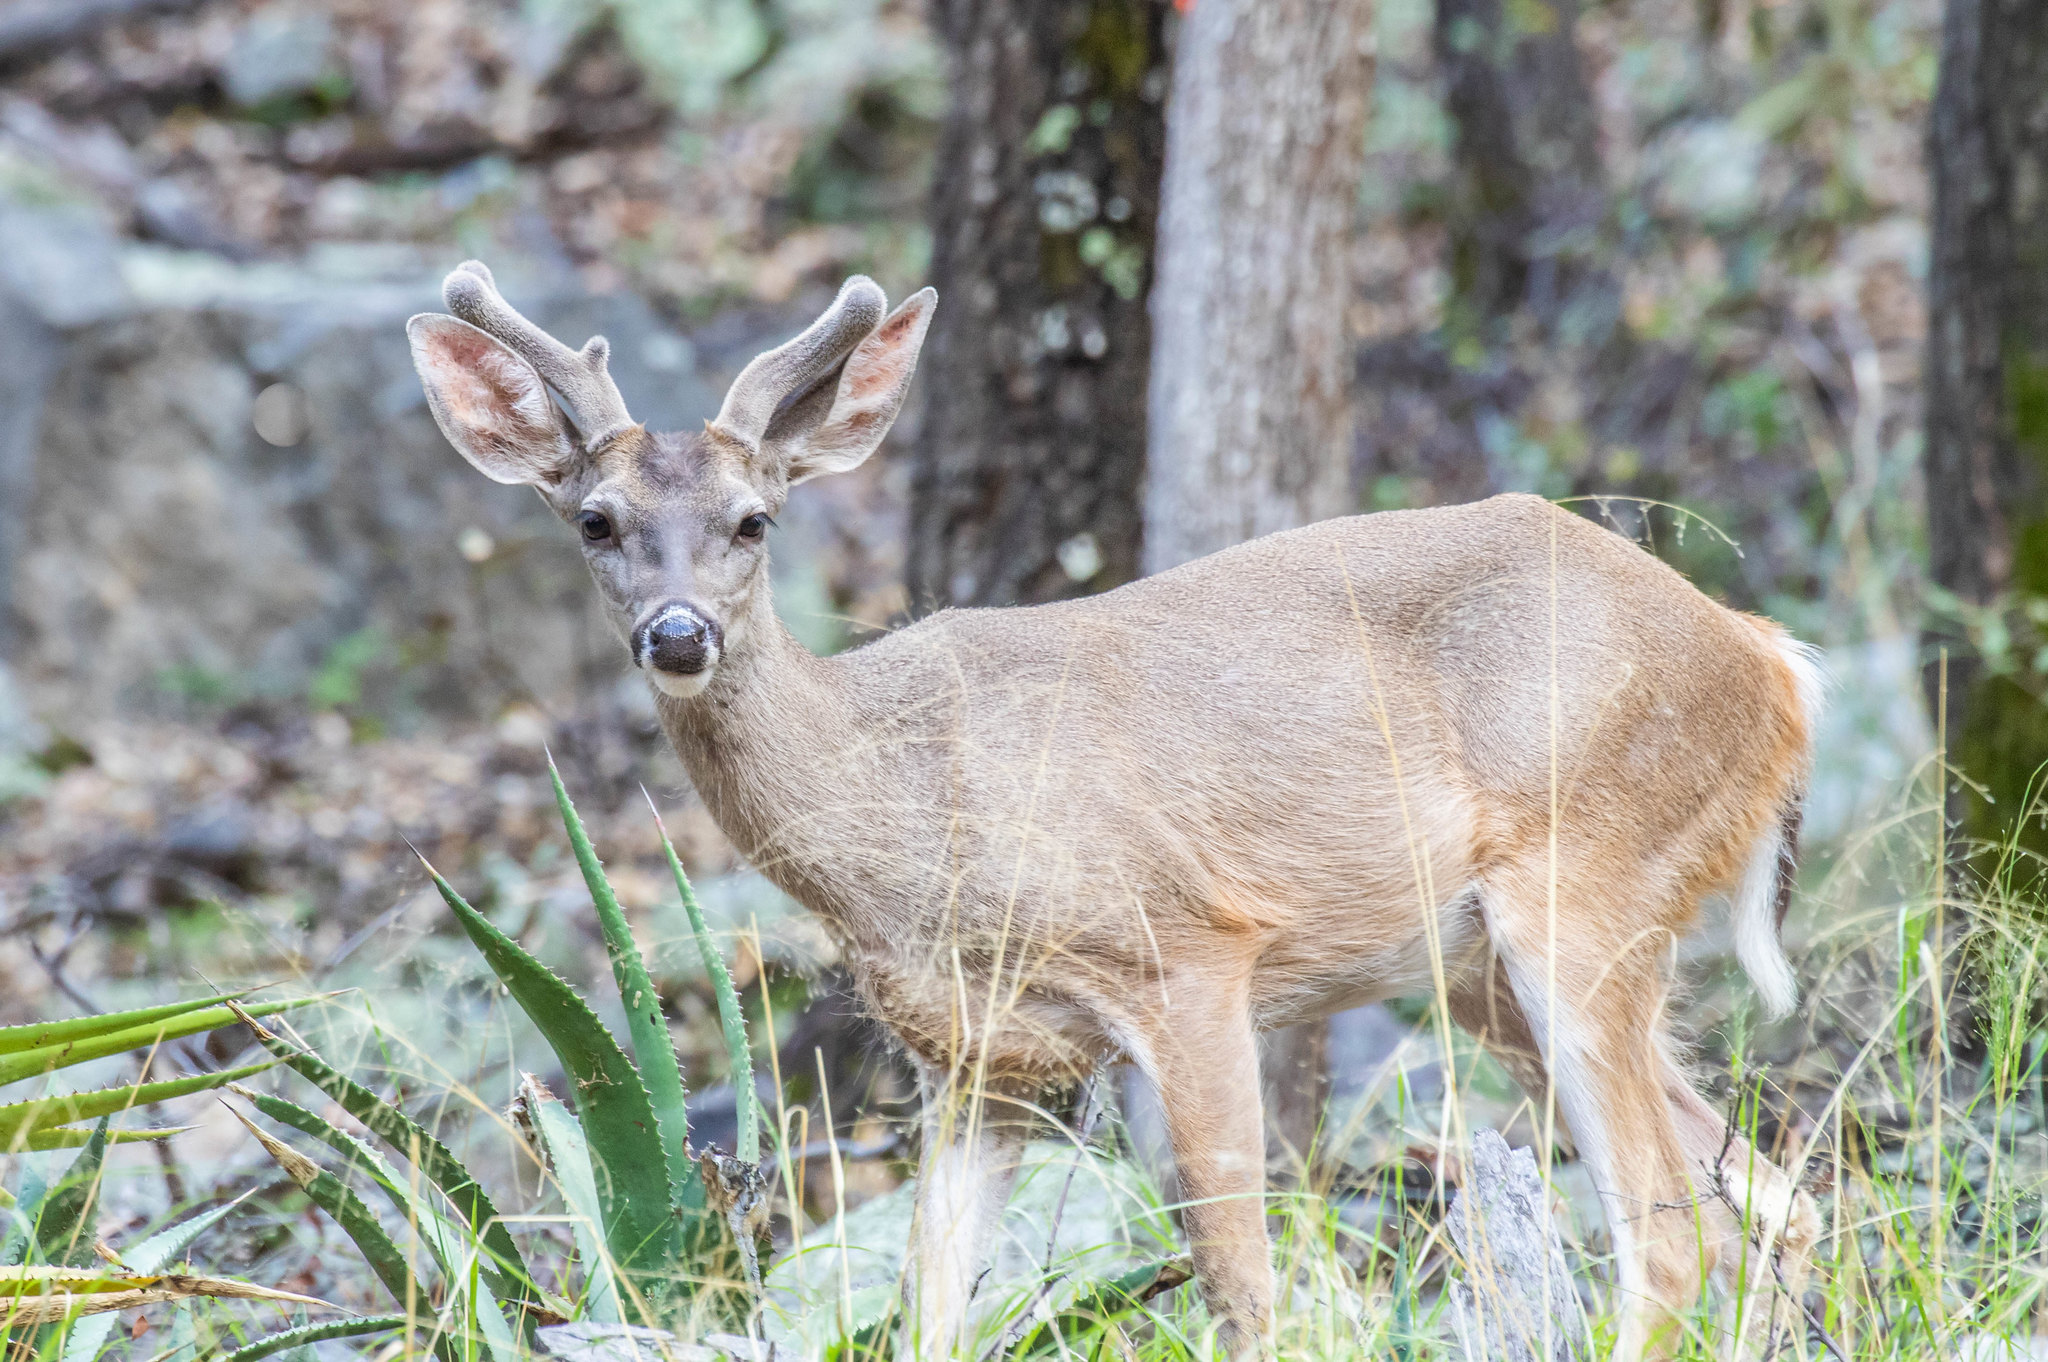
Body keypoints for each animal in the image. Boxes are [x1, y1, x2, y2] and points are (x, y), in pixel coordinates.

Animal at [403, 262, 1826, 1351]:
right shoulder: (978, 1060)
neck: (907, 814)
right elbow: (927, 1310)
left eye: (754, 521)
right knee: (1761, 1193)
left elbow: (1244, 1288)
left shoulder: (1184, 953)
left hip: (1585, 878)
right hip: (1489, 966)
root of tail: (1768, 661)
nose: (678, 633)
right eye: (595, 521)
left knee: (1670, 1231)